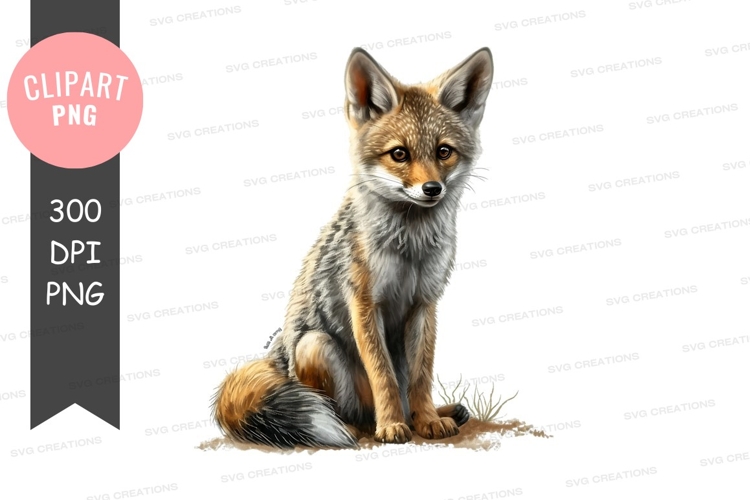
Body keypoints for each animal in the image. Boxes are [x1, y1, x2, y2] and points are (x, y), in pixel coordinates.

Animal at [212, 46, 494, 449]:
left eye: (443, 152)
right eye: (399, 154)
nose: (432, 189)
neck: (410, 249)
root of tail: (277, 359)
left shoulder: (425, 303)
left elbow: (421, 376)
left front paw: (427, 420)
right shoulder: (363, 303)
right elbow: (383, 375)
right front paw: (392, 426)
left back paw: (435, 413)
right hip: (315, 345)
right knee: (346, 413)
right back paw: (364, 427)